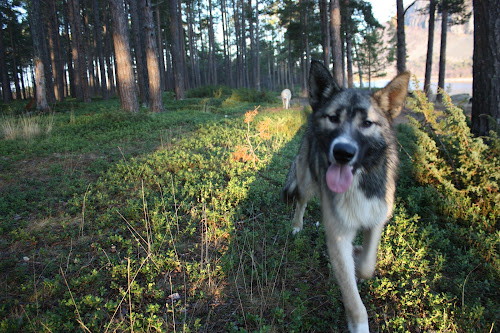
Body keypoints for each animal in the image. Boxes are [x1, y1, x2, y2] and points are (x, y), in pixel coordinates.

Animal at [282, 60, 410, 332]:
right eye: (333, 118)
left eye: (367, 123)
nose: (343, 152)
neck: (359, 180)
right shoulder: (338, 237)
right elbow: (354, 301)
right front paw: (359, 326)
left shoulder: (376, 219)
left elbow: (367, 265)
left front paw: (359, 258)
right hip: (306, 182)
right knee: (301, 202)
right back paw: (297, 225)